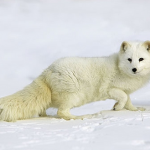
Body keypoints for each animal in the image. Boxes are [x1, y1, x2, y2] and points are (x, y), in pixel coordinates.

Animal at [0, 41, 150, 122]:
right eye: (129, 59)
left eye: (141, 59)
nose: (134, 69)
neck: (120, 68)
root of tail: (47, 71)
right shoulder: (109, 89)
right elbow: (123, 98)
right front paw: (117, 108)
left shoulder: (126, 90)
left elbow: (128, 101)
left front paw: (135, 109)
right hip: (73, 96)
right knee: (61, 112)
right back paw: (80, 117)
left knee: (43, 108)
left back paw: (46, 116)